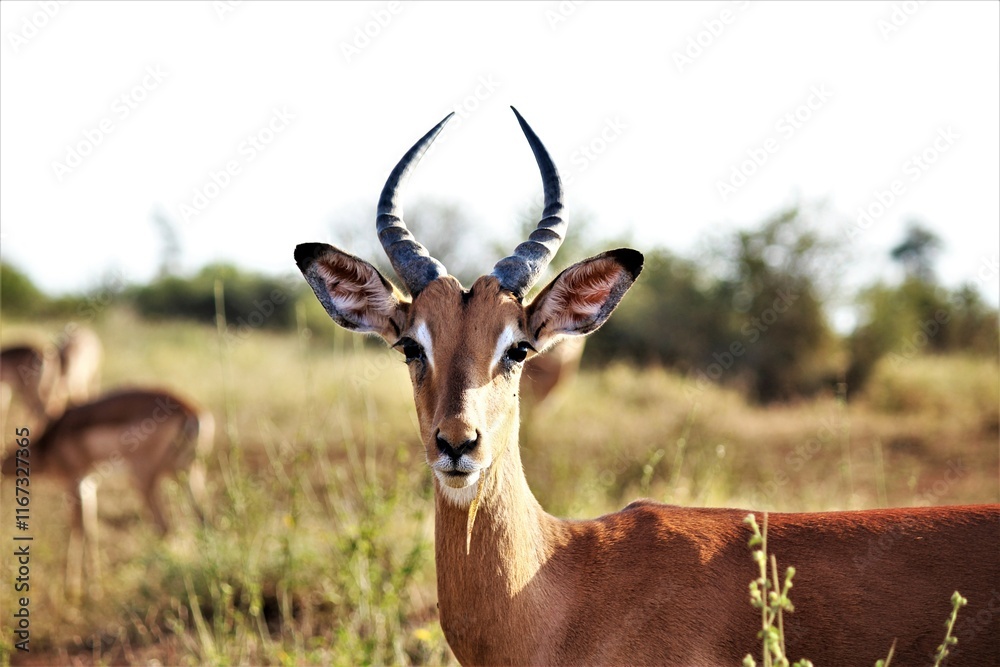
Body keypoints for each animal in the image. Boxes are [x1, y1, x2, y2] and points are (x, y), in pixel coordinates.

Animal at [1, 389, 213, 596]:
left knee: (164, 527)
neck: (48, 443)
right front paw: (95, 588)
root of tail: (193, 413)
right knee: (202, 518)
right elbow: (91, 529)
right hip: (187, 474)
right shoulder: (89, 483)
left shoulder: (74, 482)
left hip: (146, 480)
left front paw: (73, 590)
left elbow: (78, 529)